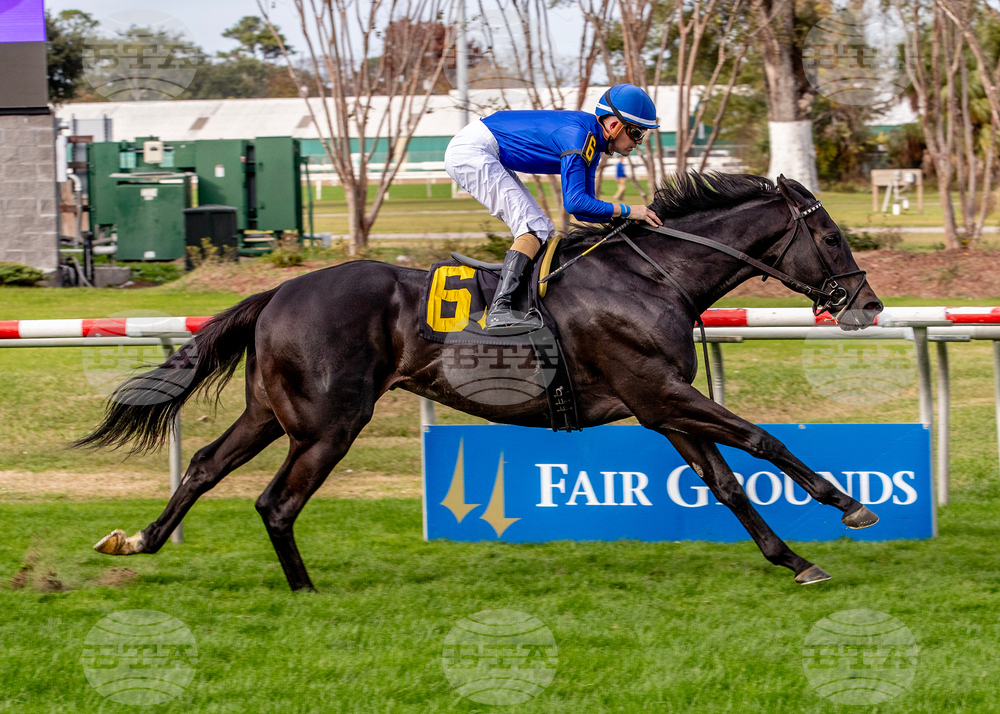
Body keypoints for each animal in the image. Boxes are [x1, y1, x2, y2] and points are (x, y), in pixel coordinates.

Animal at [77, 173, 884, 592]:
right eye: (832, 236)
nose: (869, 305)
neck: (650, 279)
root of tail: (277, 292)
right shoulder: (658, 392)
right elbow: (762, 439)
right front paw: (848, 505)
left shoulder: (661, 408)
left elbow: (725, 482)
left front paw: (794, 559)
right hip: (329, 423)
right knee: (276, 502)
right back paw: (303, 591)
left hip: (272, 411)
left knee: (205, 466)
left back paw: (139, 541)